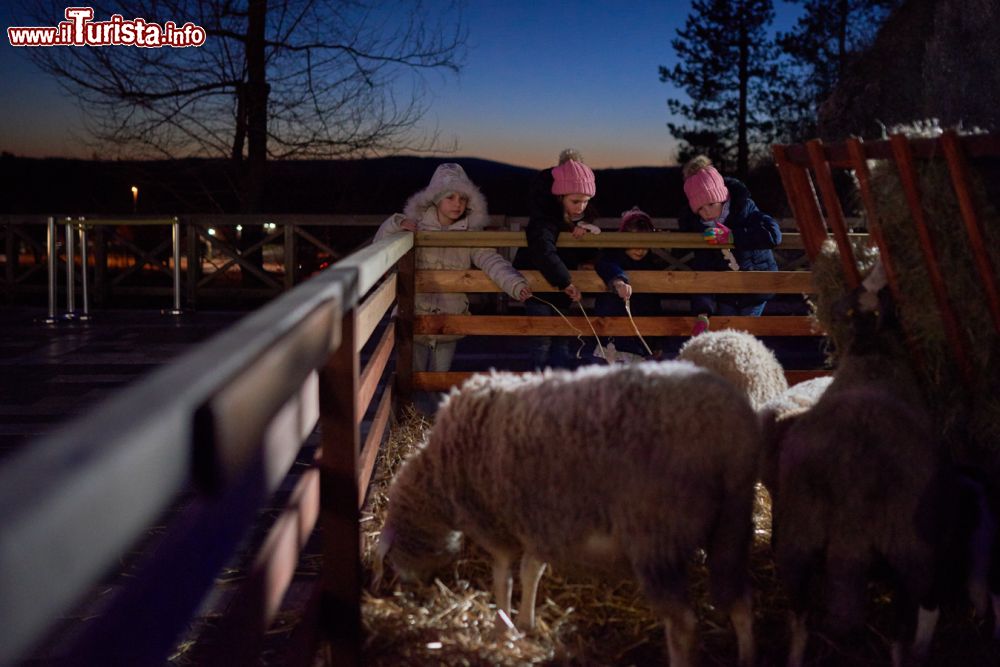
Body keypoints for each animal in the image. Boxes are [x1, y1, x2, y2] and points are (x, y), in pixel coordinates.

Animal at [378, 360, 760, 667]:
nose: (407, 591)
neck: (438, 477)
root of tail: (731, 433)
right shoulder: (540, 522)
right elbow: (532, 571)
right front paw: (527, 623)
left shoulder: (495, 527)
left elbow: (504, 579)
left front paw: (502, 628)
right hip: (731, 523)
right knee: (740, 600)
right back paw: (747, 656)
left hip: (656, 532)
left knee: (683, 625)